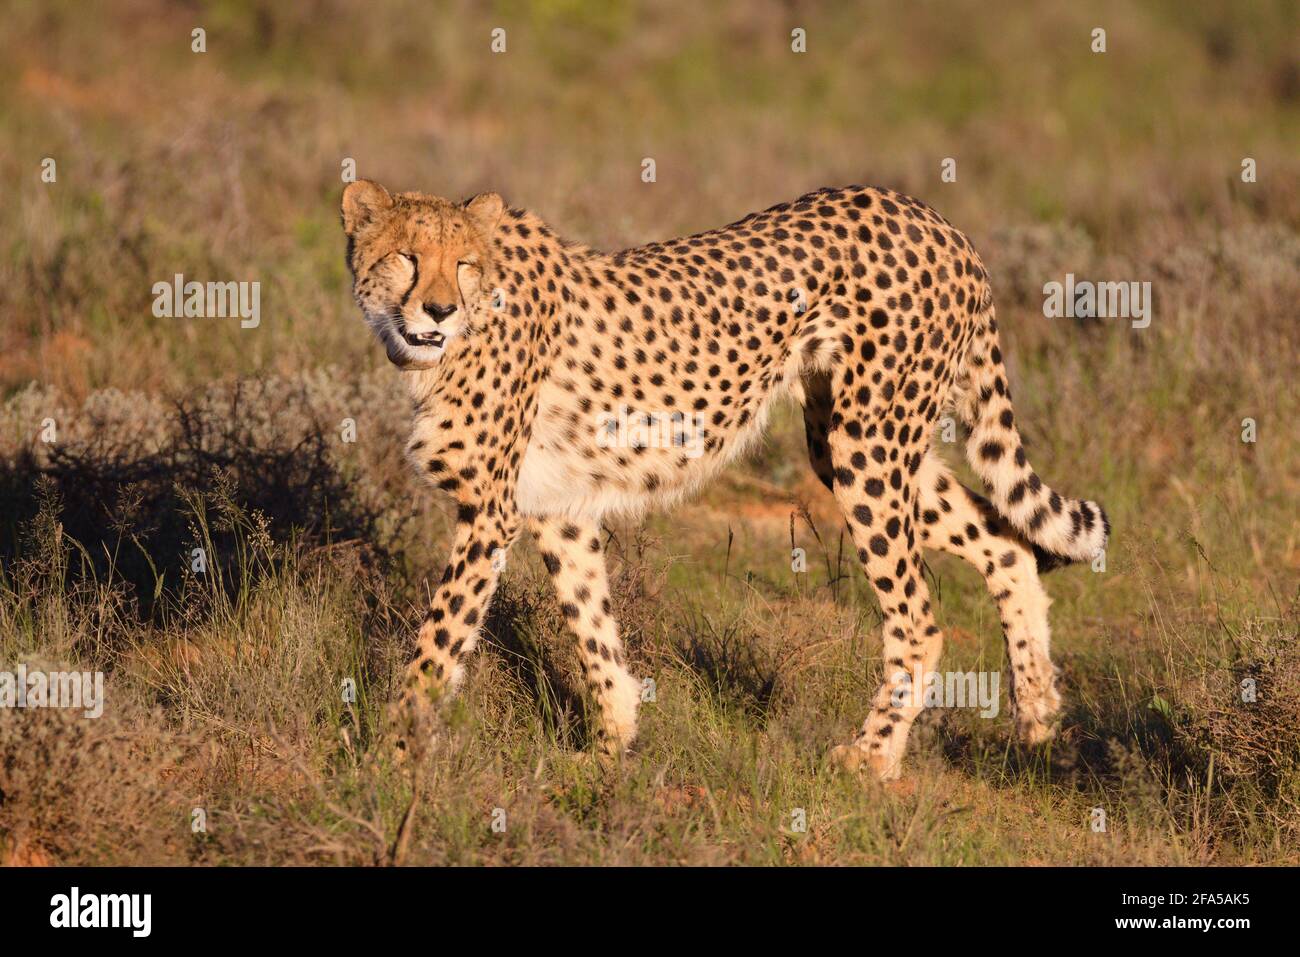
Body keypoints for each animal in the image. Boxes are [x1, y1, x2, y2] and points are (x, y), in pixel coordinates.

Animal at [343, 179, 1107, 780]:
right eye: (406, 258)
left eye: (463, 264)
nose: (438, 310)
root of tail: (933, 217)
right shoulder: (557, 505)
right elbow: (592, 626)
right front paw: (611, 745)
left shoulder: (489, 512)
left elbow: (438, 642)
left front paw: (388, 758)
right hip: (854, 443)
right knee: (1006, 542)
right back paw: (1038, 717)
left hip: (868, 445)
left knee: (918, 613)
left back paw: (873, 757)